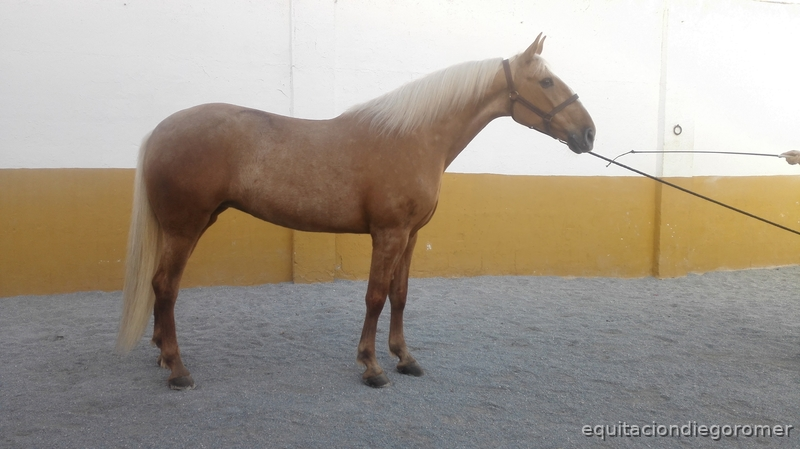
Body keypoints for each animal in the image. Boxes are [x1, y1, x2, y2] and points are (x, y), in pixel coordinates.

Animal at [116, 33, 595, 390]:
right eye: (547, 82)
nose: (588, 134)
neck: (413, 137)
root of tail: (160, 130)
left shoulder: (410, 235)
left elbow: (400, 296)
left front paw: (405, 358)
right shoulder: (388, 233)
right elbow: (375, 296)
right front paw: (372, 366)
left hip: (194, 224)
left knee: (163, 288)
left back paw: (162, 355)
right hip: (185, 227)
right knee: (165, 287)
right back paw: (178, 369)